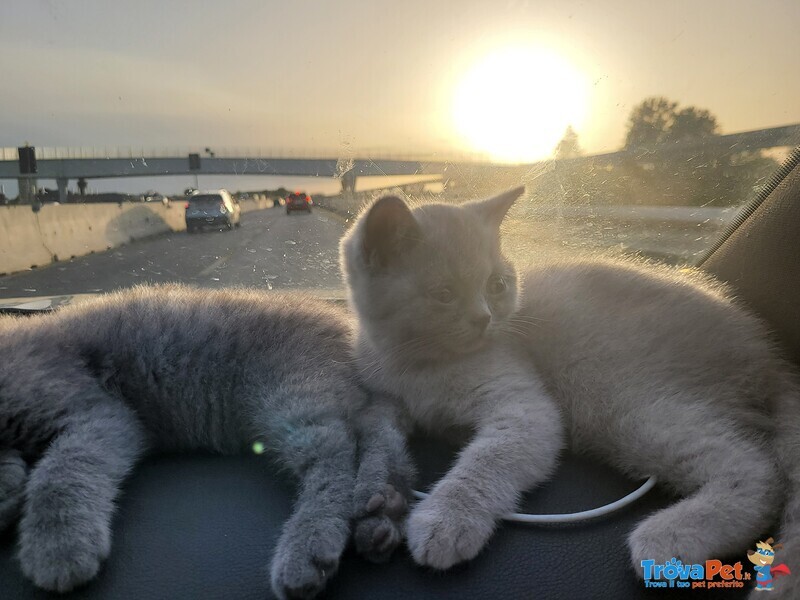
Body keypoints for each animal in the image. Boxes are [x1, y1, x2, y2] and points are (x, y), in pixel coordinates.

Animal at [0, 288, 412, 600]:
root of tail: (347, 325)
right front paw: (9, 485)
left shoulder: (98, 411)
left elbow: (61, 470)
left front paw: (57, 545)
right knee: (380, 430)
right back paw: (382, 512)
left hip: (289, 392)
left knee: (336, 451)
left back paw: (309, 547)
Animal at [340, 186, 800, 596]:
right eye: (443, 294)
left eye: (496, 285)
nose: (484, 318)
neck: (419, 367)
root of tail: (770, 357)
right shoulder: (381, 397)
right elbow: (378, 433)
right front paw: (375, 495)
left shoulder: (526, 407)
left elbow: (487, 461)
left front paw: (445, 521)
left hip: (630, 403)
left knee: (759, 469)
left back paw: (670, 539)